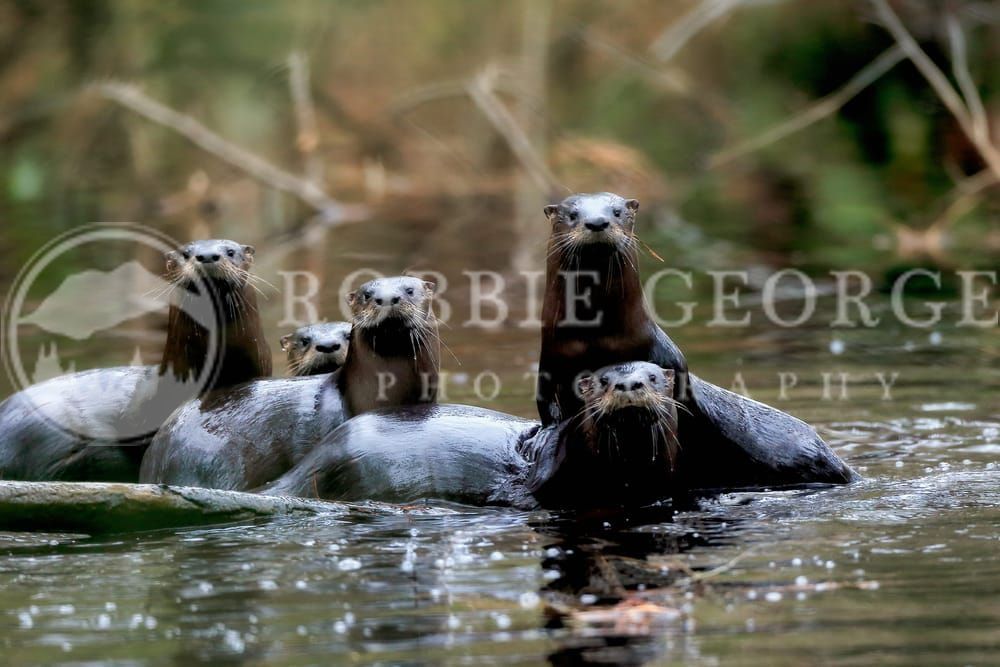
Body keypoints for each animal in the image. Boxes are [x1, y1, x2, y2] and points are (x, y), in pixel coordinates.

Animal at [536, 192, 859, 487]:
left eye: (616, 212)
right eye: (572, 214)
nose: (597, 222)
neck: (598, 339)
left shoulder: (670, 359)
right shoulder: (549, 368)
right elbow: (548, 413)